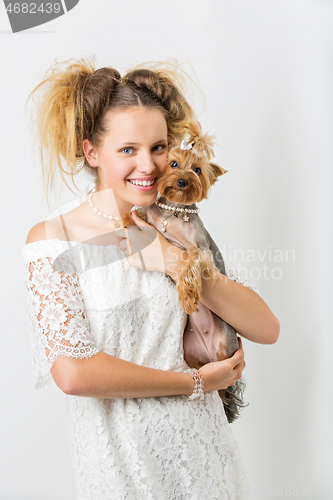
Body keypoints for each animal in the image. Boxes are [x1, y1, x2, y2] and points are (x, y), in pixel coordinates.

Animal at [118, 121, 245, 422]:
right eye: (174, 163)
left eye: (197, 169)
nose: (183, 181)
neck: (173, 212)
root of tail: (210, 355)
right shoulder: (152, 216)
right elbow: (139, 211)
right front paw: (125, 218)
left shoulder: (200, 250)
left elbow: (188, 262)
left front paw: (187, 296)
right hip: (190, 353)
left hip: (226, 349)